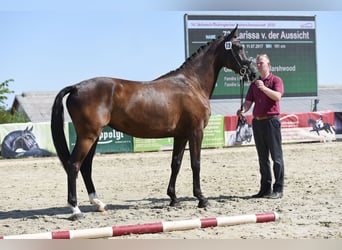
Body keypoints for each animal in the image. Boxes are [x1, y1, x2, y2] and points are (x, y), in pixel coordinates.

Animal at [50, 26, 254, 220]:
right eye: (239, 47)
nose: (252, 73)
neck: (192, 83)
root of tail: (76, 87)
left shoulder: (181, 135)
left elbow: (176, 164)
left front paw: (173, 198)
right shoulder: (196, 132)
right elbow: (195, 163)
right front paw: (202, 199)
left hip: (94, 136)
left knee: (86, 167)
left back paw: (98, 203)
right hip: (88, 136)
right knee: (74, 165)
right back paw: (75, 209)